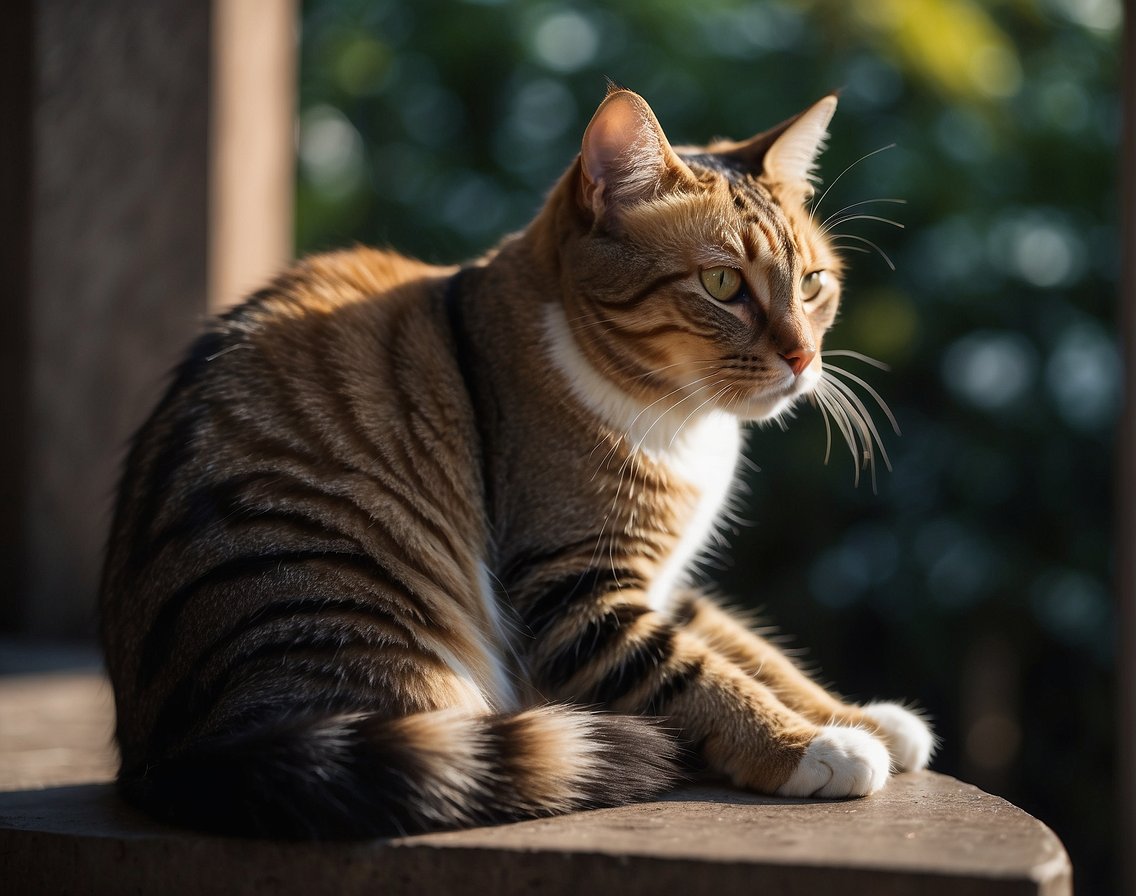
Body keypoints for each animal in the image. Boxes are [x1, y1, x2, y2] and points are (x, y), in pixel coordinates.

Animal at [99, 87, 931, 835]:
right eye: (723, 283)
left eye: (814, 284)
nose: (803, 357)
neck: (683, 425)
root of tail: (166, 760)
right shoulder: (572, 594)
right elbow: (696, 674)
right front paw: (813, 744)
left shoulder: (662, 582)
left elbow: (750, 647)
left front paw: (861, 716)